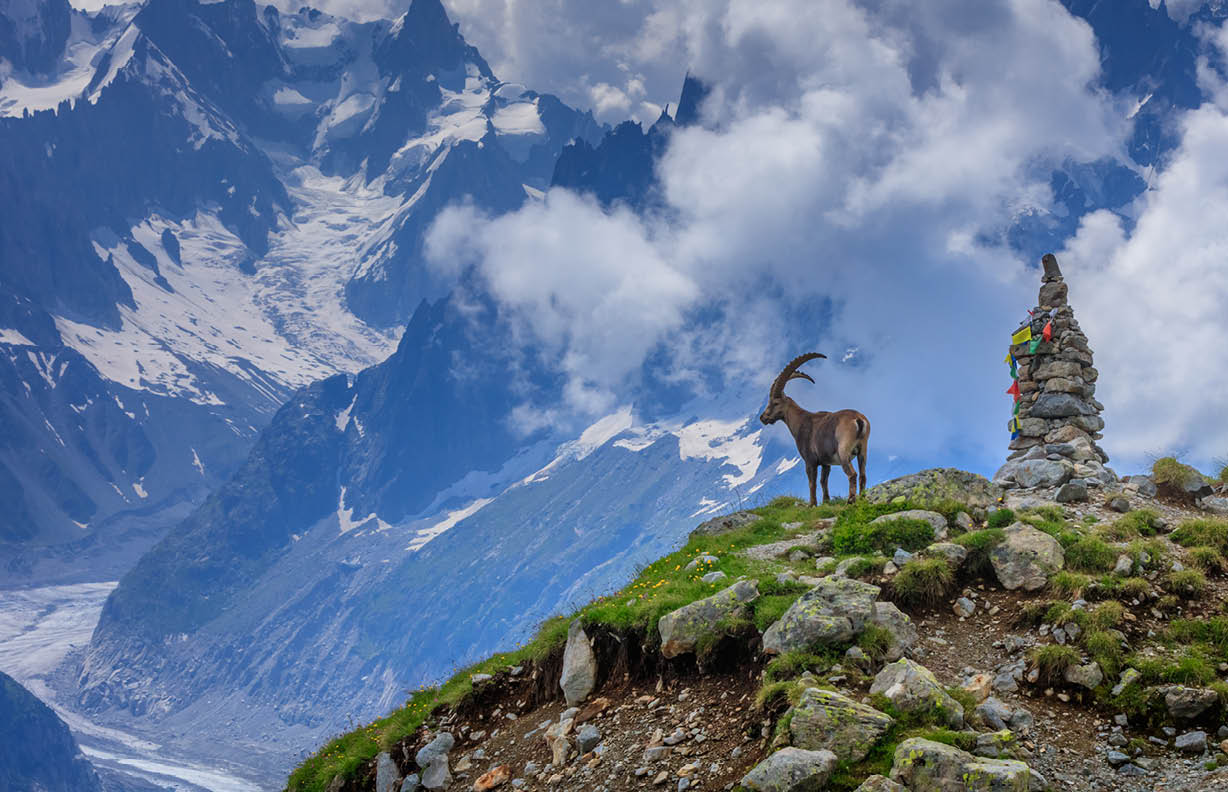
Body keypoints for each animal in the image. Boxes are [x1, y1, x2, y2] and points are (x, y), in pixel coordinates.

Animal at [758, 352, 870, 505]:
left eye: (775, 403)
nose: (763, 418)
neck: (800, 421)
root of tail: (858, 419)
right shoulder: (825, 463)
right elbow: (823, 481)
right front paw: (826, 502)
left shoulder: (810, 461)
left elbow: (812, 483)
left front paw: (812, 504)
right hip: (863, 449)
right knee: (863, 475)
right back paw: (862, 497)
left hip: (843, 451)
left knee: (852, 474)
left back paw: (850, 500)